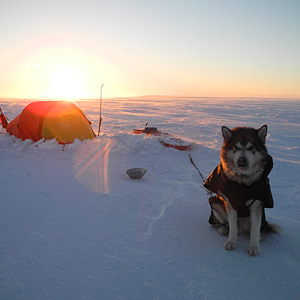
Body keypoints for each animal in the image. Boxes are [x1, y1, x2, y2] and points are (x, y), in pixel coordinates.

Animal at [203, 125, 278, 256]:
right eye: (236, 148)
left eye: (251, 147)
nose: (242, 160)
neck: (242, 182)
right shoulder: (230, 203)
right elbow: (233, 227)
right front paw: (231, 242)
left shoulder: (257, 205)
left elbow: (255, 229)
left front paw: (254, 246)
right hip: (215, 203)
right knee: (225, 222)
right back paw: (223, 228)